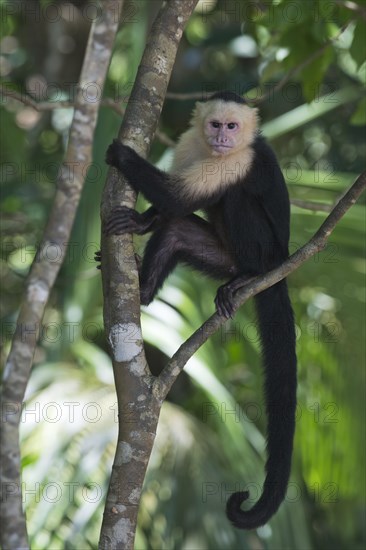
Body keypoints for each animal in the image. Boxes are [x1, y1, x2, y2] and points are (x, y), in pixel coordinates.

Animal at [101, 92, 296, 532]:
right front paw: (141, 221)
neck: (216, 150)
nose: (222, 138)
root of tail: (281, 265)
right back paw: (144, 292)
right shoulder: (191, 142)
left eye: (233, 127)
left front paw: (121, 154)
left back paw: (248, 277)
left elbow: (180, 196)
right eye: (215, 125)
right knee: (176, 232)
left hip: (266, 252)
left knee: (237, 197)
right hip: (220, 257)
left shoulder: (239, 159)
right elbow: (172, 206)